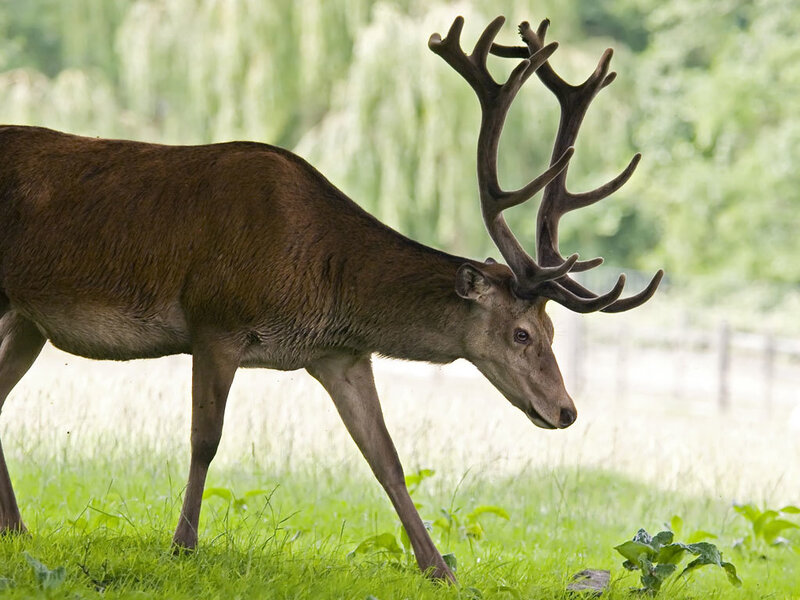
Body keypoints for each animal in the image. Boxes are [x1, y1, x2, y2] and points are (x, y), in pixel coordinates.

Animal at [0, 15, 662, 581]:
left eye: (553, 333)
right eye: (521, 333)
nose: (566, 411)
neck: (317, 284)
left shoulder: (340, 356)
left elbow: (386, 457)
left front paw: (439, 569)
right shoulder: (215, 321)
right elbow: (205, 439)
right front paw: (182, 546)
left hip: (29, 320)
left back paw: (19, 531)